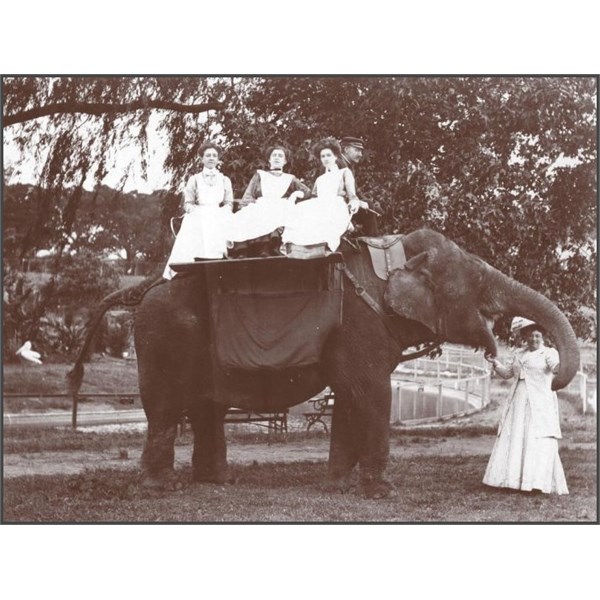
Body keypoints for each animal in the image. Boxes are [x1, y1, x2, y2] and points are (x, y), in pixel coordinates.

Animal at [68, 227, 580, 500]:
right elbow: (372, 393)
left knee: (205, 408)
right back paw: (158, 489)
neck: (391, 251)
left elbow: (354, 395)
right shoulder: (362, 324)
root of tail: (145, 286)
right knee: (165, 409)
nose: (505, 350)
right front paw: (381, 493)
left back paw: (218, 480)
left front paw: (337, 485)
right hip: (164, 338)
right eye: (475, 283)